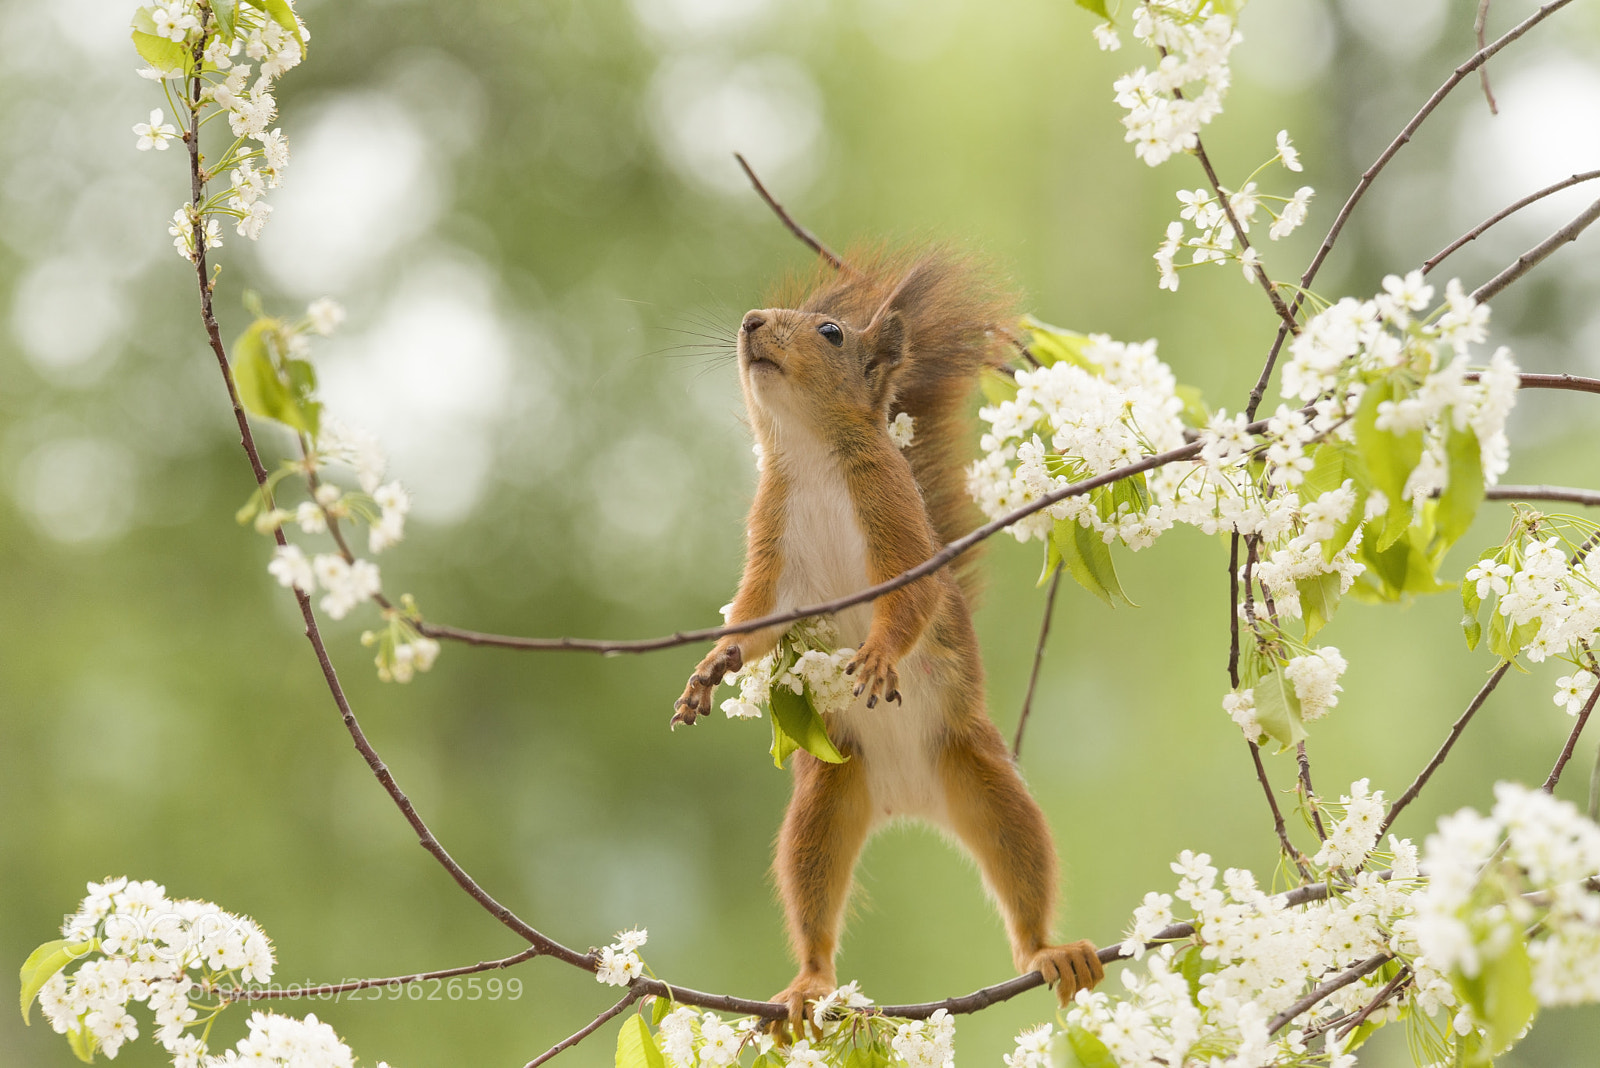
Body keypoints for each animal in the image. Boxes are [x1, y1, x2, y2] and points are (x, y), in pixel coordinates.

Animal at [672, 248, 1104, 1026]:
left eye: (831, 332)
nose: (749, 323)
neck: (810, 454)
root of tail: (907, 802)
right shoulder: (768, 543)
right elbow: (753, 620)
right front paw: (711, 668)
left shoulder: (897, 518)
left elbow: (914, 598)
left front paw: (875, 655)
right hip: (826, 797)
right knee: (811, 889)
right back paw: (809, 987)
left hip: (982, 776)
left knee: (1021, 861)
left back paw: (1050, 950)